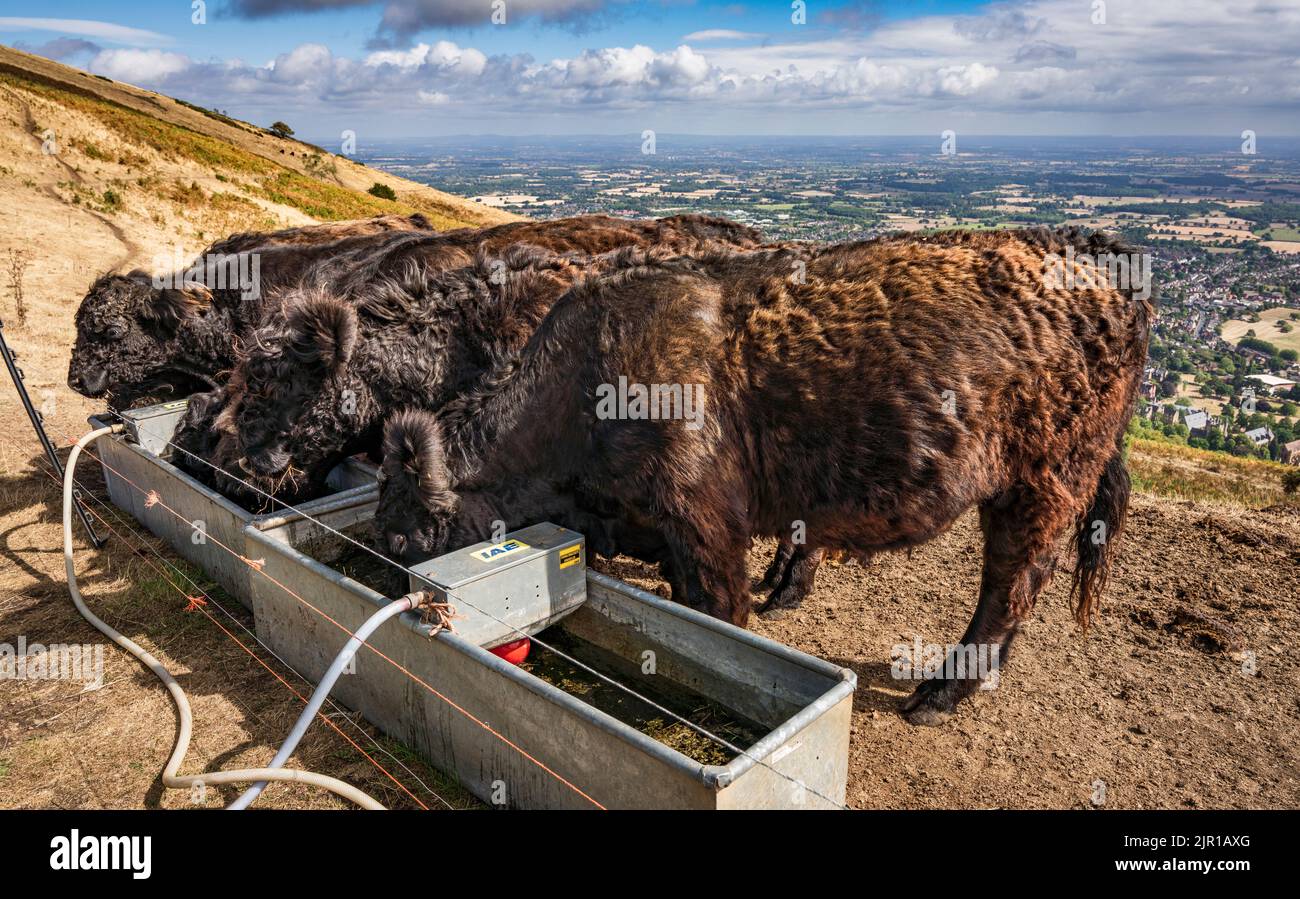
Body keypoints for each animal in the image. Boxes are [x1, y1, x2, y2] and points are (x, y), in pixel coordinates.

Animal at [379, 226, 1159, 722]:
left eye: (402, 539)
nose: (395, 595)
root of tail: (1097, 255)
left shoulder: (702, 519)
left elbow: (713, 612)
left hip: (1040, 487)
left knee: (1009, 588)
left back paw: (936, 697)